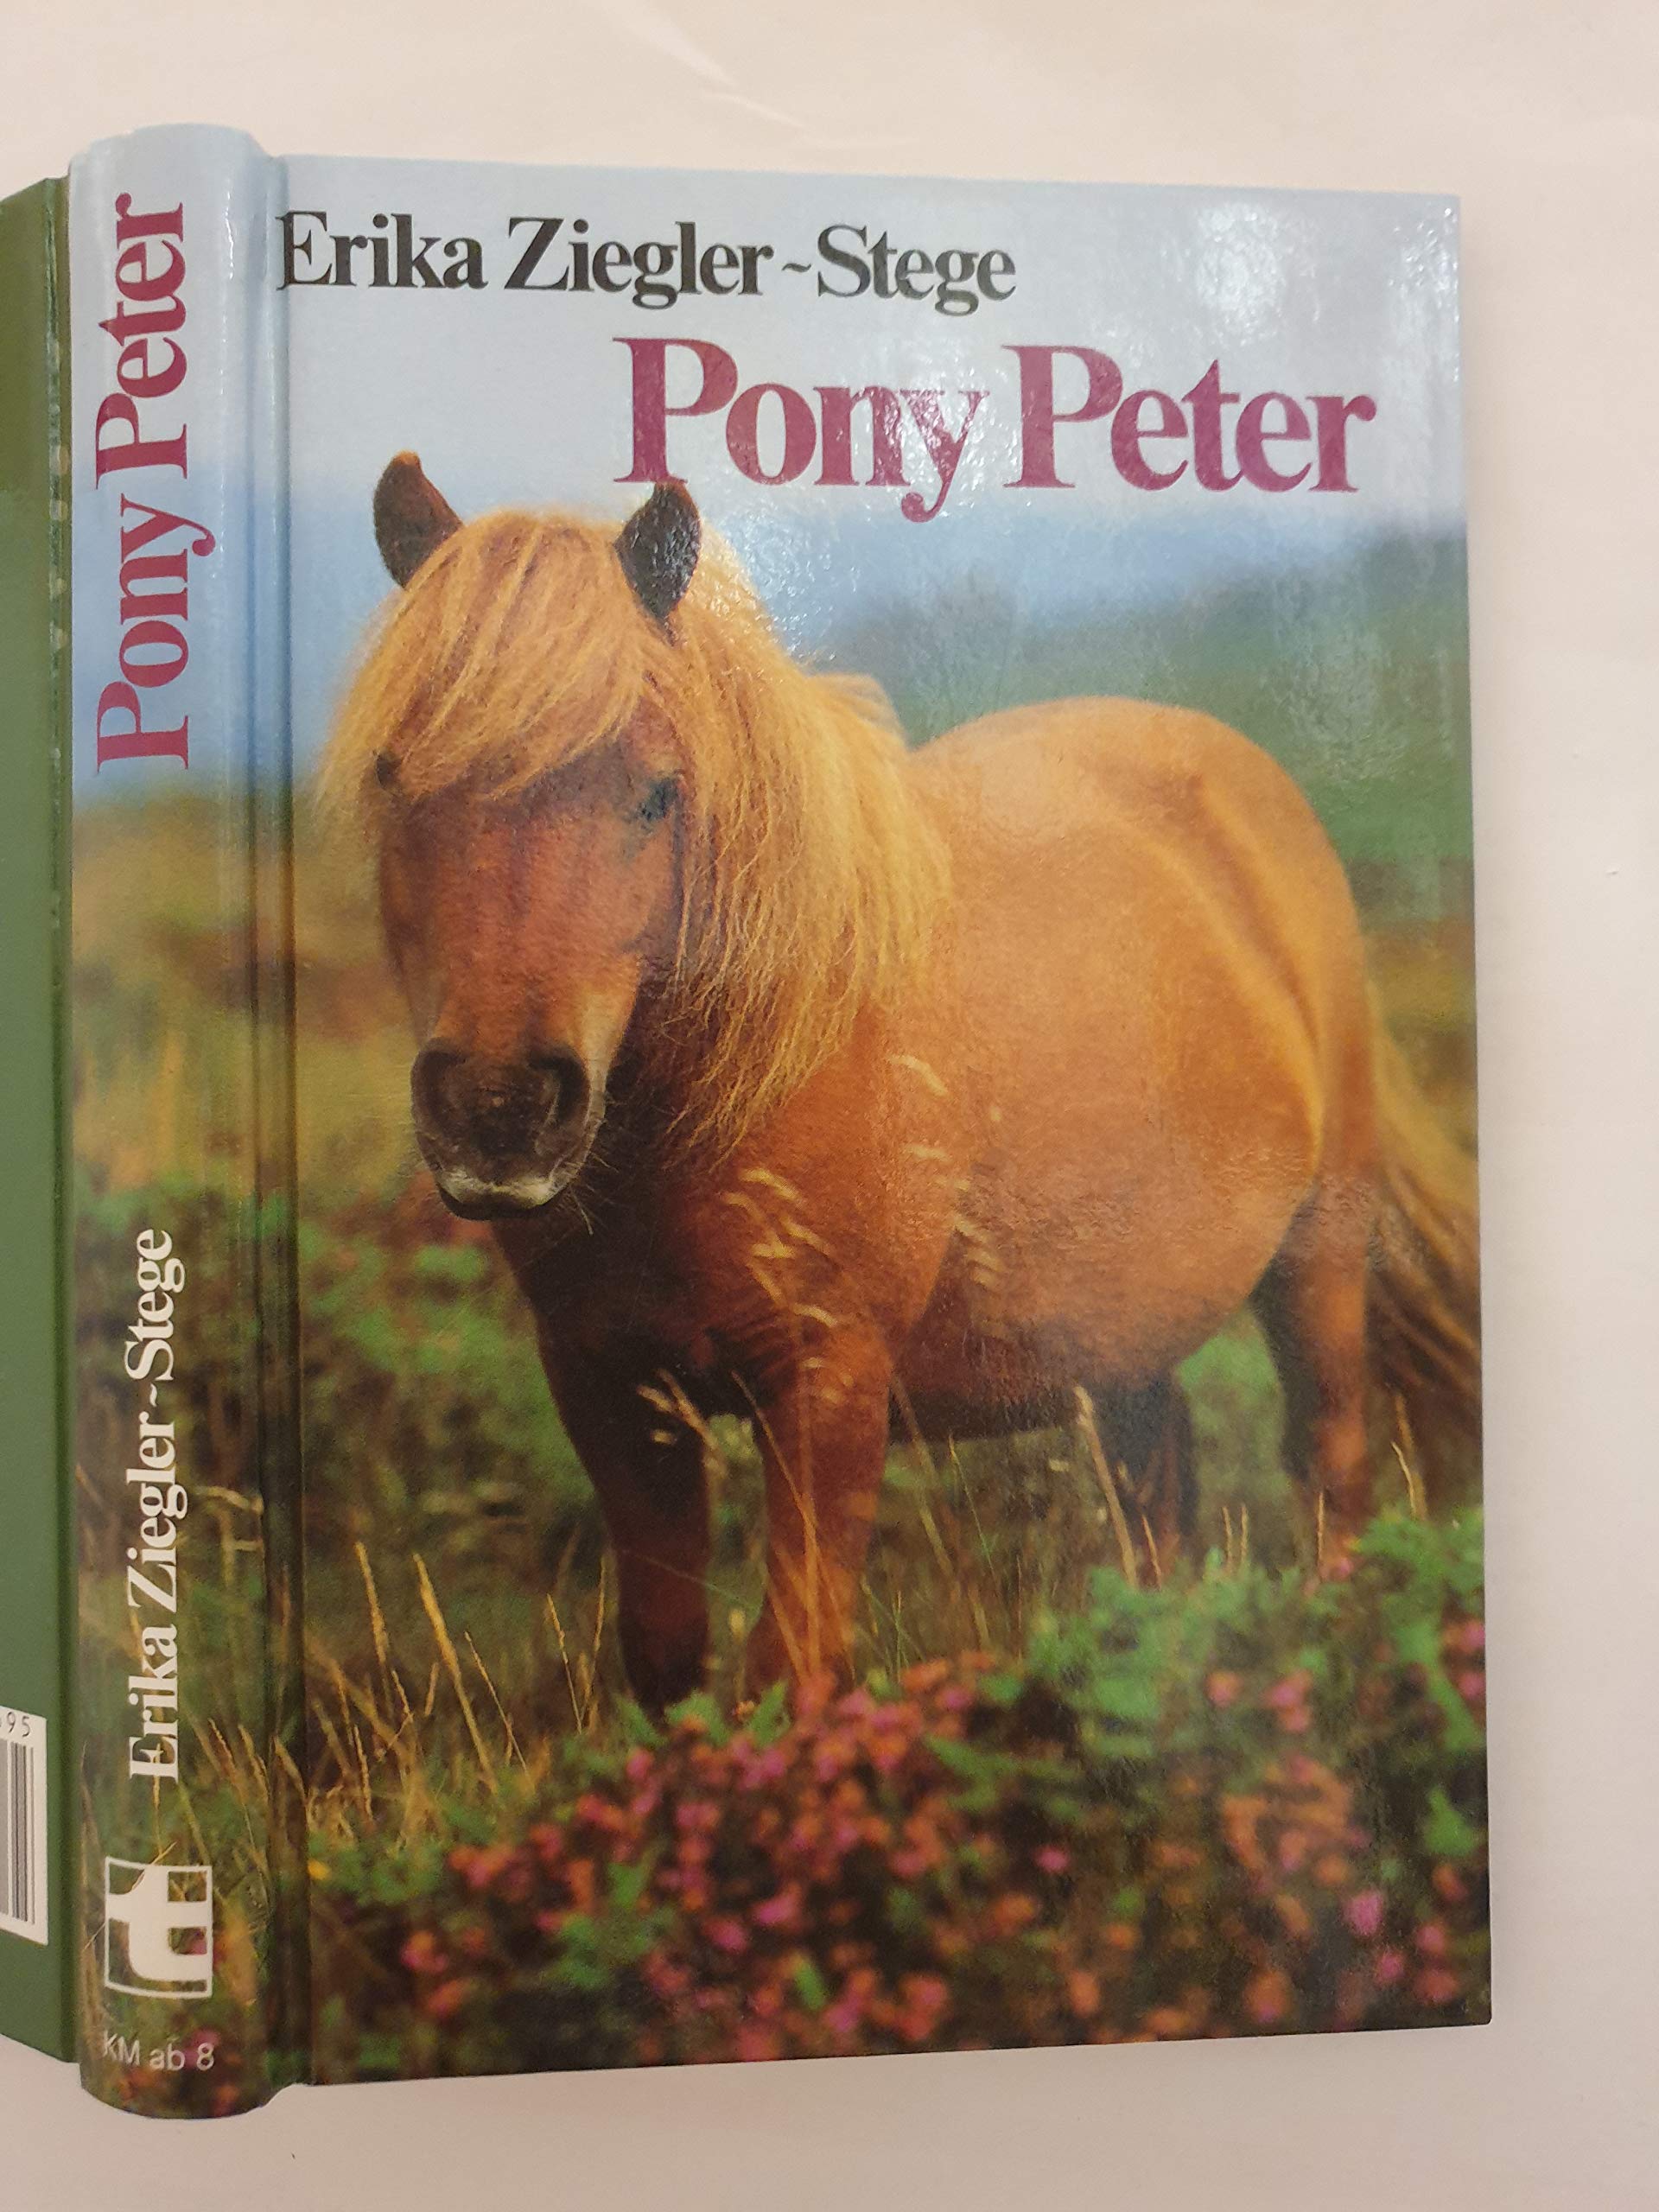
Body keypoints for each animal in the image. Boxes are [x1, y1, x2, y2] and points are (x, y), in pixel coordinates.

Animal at [324, 456, 1481, 1709]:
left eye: (655, 791)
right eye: (394, 779)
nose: (498, 1107)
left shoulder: (828, 1387)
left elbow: (791, 1667)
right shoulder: (610, 1389)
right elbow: (670, 1658)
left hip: (1319, 1257)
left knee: (1330, 1466)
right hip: (1121, 1331)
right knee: (1156, 1491)